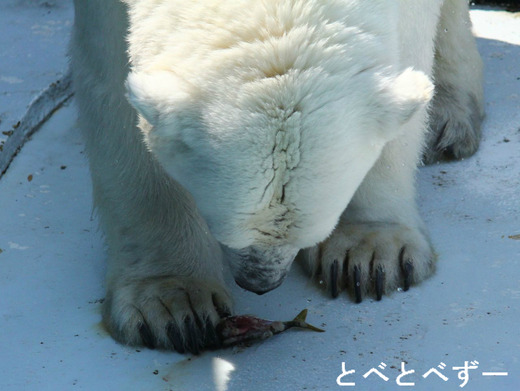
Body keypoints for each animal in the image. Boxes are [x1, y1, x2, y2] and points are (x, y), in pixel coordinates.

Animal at [69, 0, 484, 356]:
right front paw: (173, 306)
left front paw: (367, 253)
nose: (260, 283)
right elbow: (114, 81)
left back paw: (450, 114)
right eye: (222, 225)